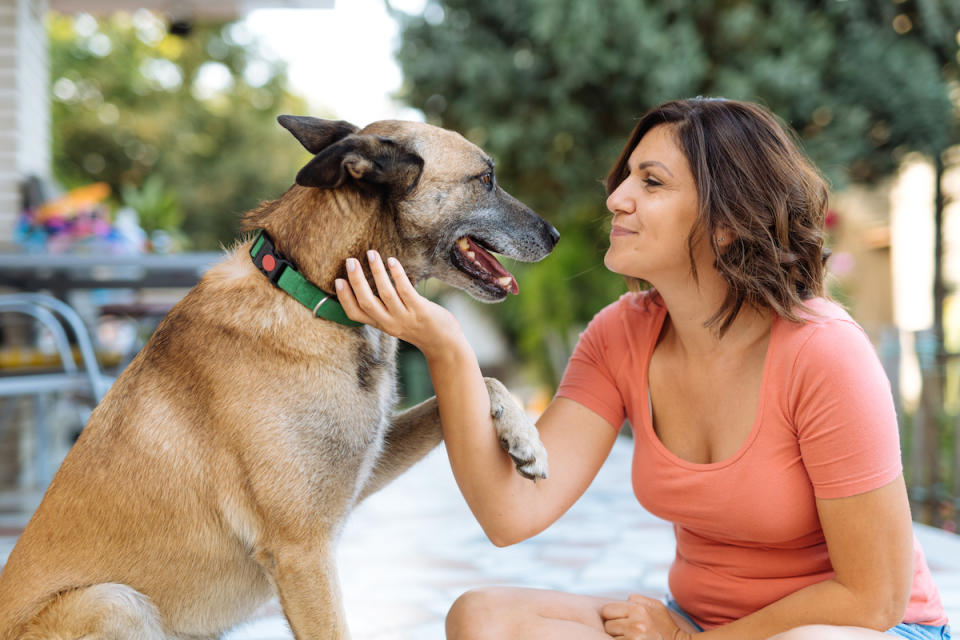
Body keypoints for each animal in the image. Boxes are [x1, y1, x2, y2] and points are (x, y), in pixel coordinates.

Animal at [0, 117, 560, 636]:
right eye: (486, 178)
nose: (555, 236)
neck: (308, 290)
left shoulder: (358, 474)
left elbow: (473, 389)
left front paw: (525, 439)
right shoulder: (302, 550)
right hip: (114, 601)